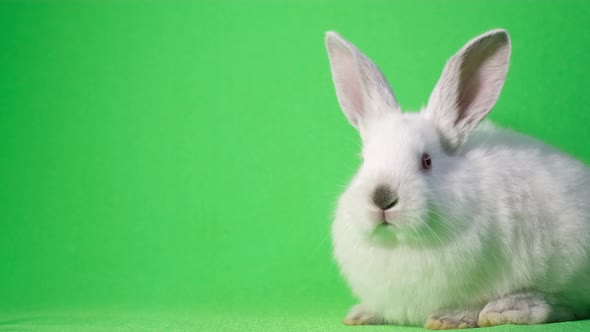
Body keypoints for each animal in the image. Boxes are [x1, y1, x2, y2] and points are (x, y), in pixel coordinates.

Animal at [326, 29, 590, 330]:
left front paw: (448, 318)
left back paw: (506, 310)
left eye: (426, 161)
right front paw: (361, 314)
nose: (382, 197)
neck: (400, 245)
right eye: (363, 160)